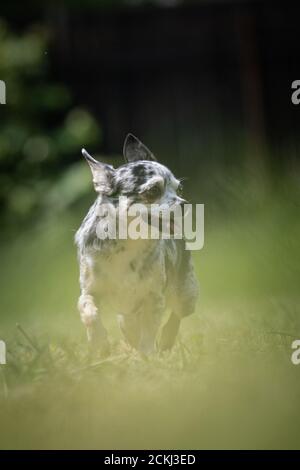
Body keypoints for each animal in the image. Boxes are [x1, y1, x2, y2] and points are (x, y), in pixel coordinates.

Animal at [75, 134, 198, 354]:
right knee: (129, 325)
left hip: (186, 293)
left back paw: (166, 338)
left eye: (180, 188)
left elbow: (149, 334)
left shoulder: (153, 298)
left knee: (176, 314)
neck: (127, 242)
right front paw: (99, 341)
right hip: (126, 313)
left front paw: (147, 356)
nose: (184, 203)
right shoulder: (90, 291)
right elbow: (88, 310)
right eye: (153, 190)